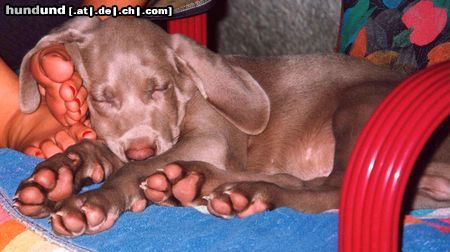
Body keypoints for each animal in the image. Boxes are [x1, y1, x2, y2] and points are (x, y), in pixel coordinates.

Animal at [14, 17, 450, 236]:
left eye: (160, 87)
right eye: (101, 99)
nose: (142, 148)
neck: (188, 92)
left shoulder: (209, 138)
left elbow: (134, 168)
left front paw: (93, 202)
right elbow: (103, 150)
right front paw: (58, 177)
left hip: (357, 105)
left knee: (326, 188)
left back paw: (231, 190)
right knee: (304, 183)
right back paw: (197, 185)